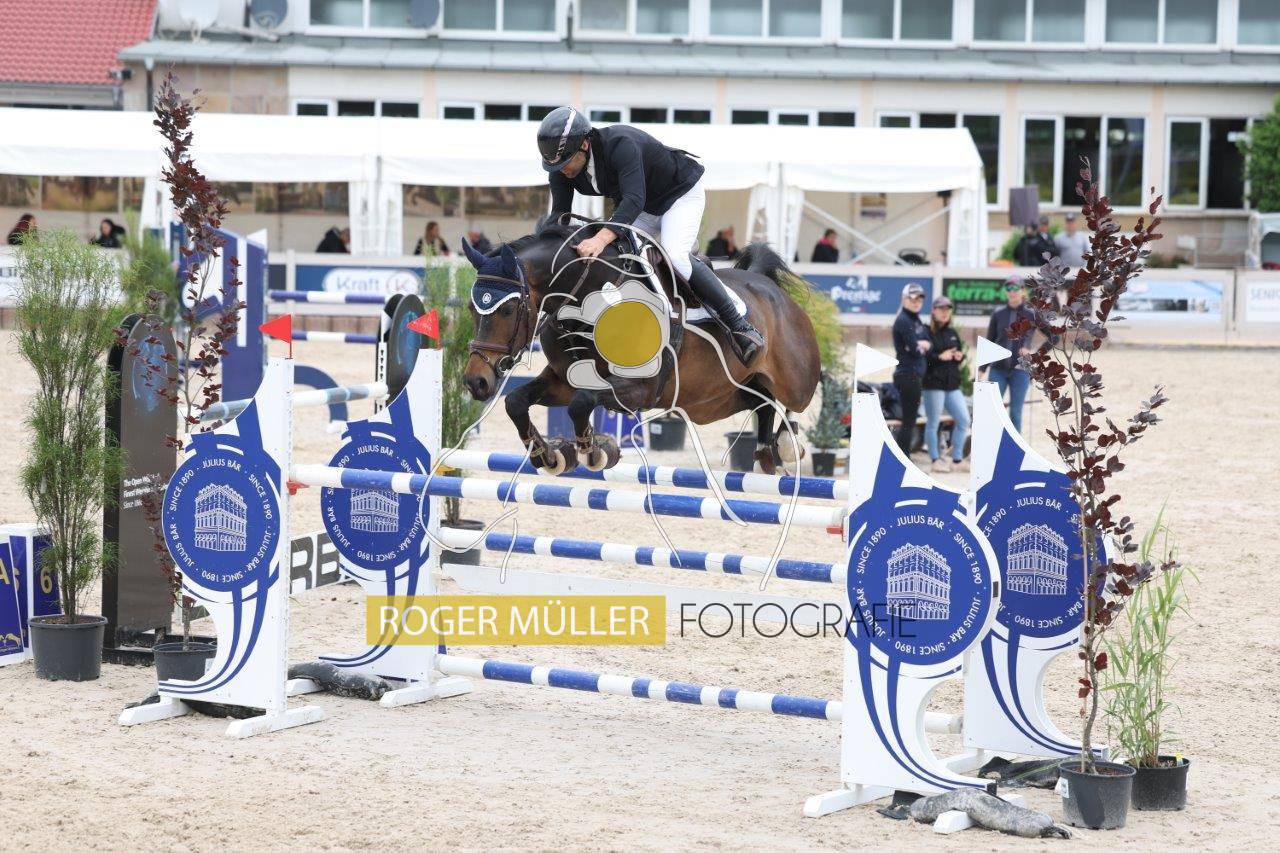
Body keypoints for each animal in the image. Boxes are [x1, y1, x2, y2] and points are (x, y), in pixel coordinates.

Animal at [461, 220, 821, 476]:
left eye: (508, 309)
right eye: (470, 307)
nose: (476, 381)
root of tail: (767, 285)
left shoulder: (639, 389)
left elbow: (582, 402)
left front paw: (596, 450)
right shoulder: (564, 381)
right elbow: (516, 402)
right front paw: (548, 455)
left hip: (792, 379)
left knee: (792, 401)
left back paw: (786, 445)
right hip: (716, 399)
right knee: (762, 403)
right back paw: (766, 452)